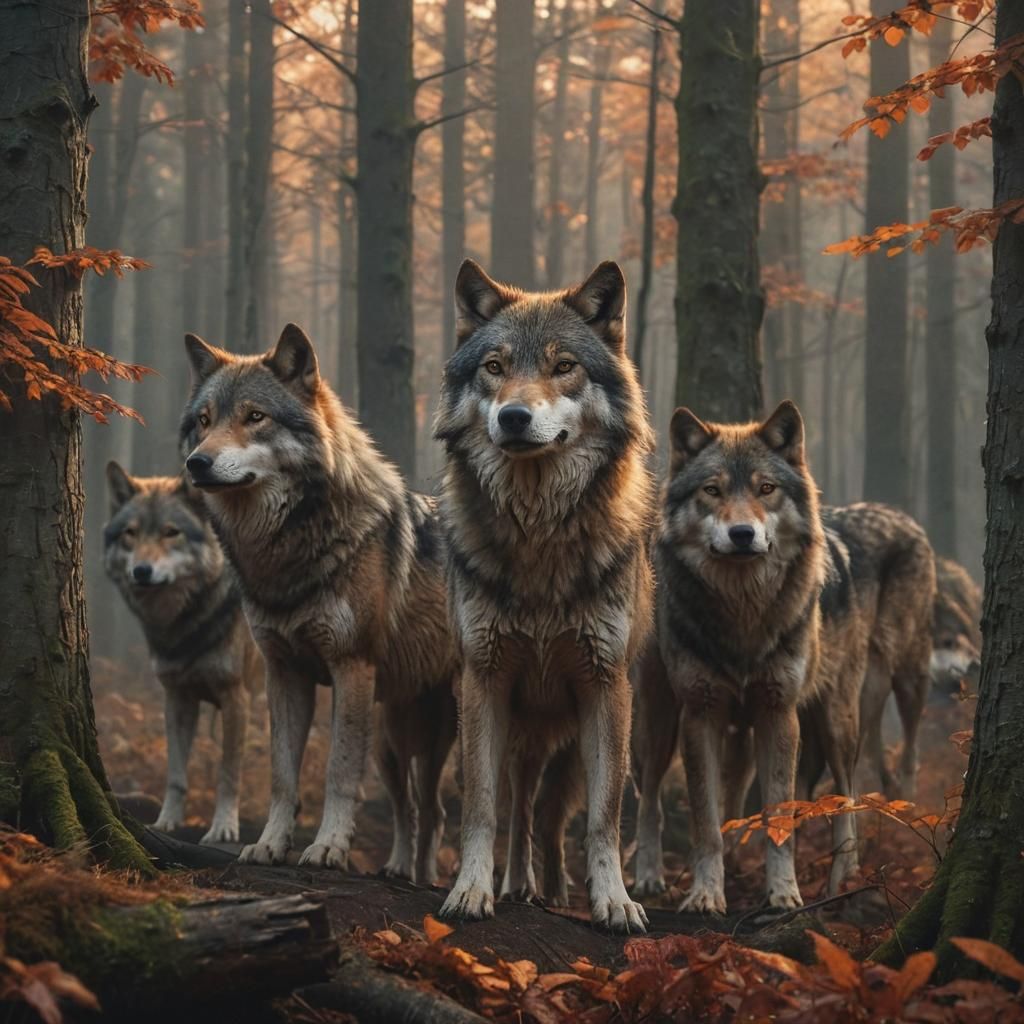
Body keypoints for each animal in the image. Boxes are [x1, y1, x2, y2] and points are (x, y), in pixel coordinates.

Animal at [103, 465, 261, 844]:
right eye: (131, 533)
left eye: (171, 532)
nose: (141, 571)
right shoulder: (177, 698)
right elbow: (176, 775)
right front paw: (166, 823)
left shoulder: (237, 698)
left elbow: (228, 774)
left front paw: (223, 829)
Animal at [179, 324, 458, 881]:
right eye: (204, 421)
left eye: (255, 417)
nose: (196, 463)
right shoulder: (284, 672)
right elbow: (282, 775)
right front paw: (269, 845)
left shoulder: (351, 667)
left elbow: (337, 771)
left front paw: (328, 847)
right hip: (393, 740)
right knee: (419, 809)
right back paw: (403, 871)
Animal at [435, 259, 655, 933]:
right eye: (495, 366)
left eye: (563, 366)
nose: (513, 417)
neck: (538, 539)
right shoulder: (483, 681)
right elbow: (482, 809)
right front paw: (470, 890)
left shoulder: (606, 688)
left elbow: (605, 820)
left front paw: (615, 902)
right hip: (520, 735)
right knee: (522, 808)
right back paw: (518, 885)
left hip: (573, 745)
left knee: (554, 817)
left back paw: (554, 890)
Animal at [632, 402, 934, 914]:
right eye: (712, 490)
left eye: (766, 489)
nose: (742, 534)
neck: (744, 616)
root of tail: (903, 518)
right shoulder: (700, 713)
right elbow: (705, 822)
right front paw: (706, 893)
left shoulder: (779, 713)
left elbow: (780, 817)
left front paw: (783, 893)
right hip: (660, 722)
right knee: (650, 797)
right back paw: (649, 876)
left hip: (846, 711)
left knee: (847, 791)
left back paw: (842, 879)